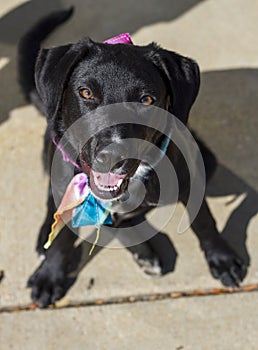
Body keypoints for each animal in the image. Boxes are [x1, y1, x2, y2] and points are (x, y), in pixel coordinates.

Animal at [18, 9, 246, 308]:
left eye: (146, 99)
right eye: (86, 93)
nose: (112, 156)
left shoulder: (190, 178)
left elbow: (204, 221)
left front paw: (222, 259)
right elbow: (63, 235)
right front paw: (49, 275)